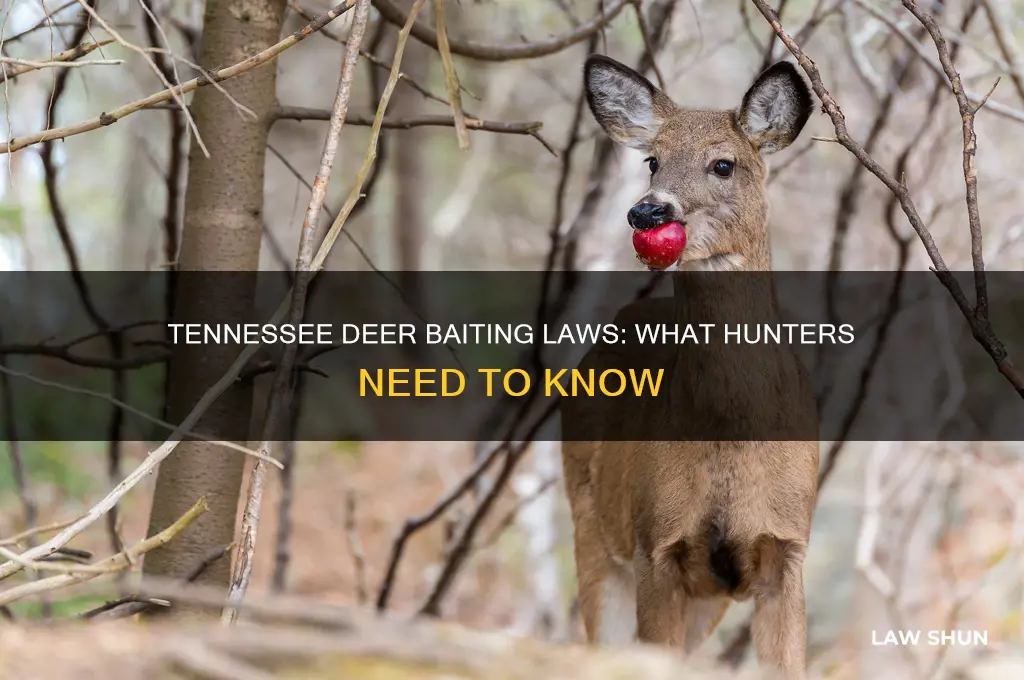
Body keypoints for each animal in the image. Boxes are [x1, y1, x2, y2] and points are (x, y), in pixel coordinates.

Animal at [559, 55, 820, 680]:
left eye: (723, 163)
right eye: (652, 159)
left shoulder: (787, 544)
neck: (730, 438)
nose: (647, 210)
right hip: (592, 527)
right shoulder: (657, 543)